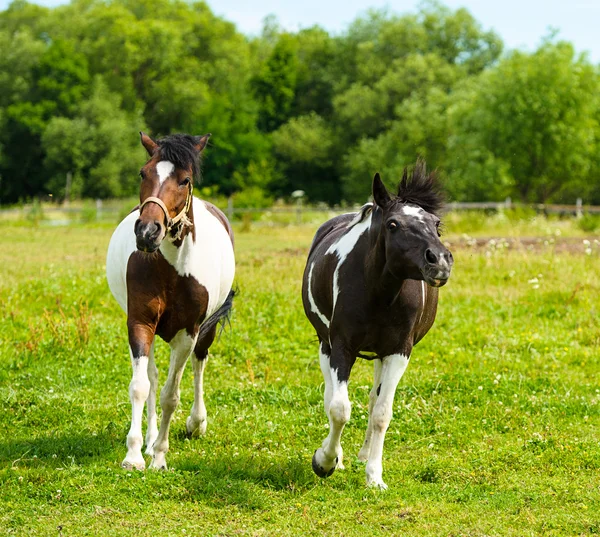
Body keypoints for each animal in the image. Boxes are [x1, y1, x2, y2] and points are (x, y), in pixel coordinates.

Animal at [106, 133, 233, 468]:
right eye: (143, 173)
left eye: (185, 180)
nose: (147, 232)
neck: (172, 270)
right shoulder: (139, 323)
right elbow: (142, 386)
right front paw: (136, 453)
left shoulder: (188, 332)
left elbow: (171, 395)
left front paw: (161, 457)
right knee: (151, 376)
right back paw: (149, 441)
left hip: (205, 330)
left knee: (199, 363)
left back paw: (196, 423)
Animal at [302, 161, 452, 488]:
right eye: (393, 224)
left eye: (436, 224)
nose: (439, 261)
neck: (378, 292)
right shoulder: (342, 347)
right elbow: (339, 408)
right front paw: (325, 461)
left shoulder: (398, 352)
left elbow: (382, 412)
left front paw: (374, 477)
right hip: (325, 343)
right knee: (331, 396)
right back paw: (338, 455)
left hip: (379, 355)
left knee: (372, 400)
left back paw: (361, 455)